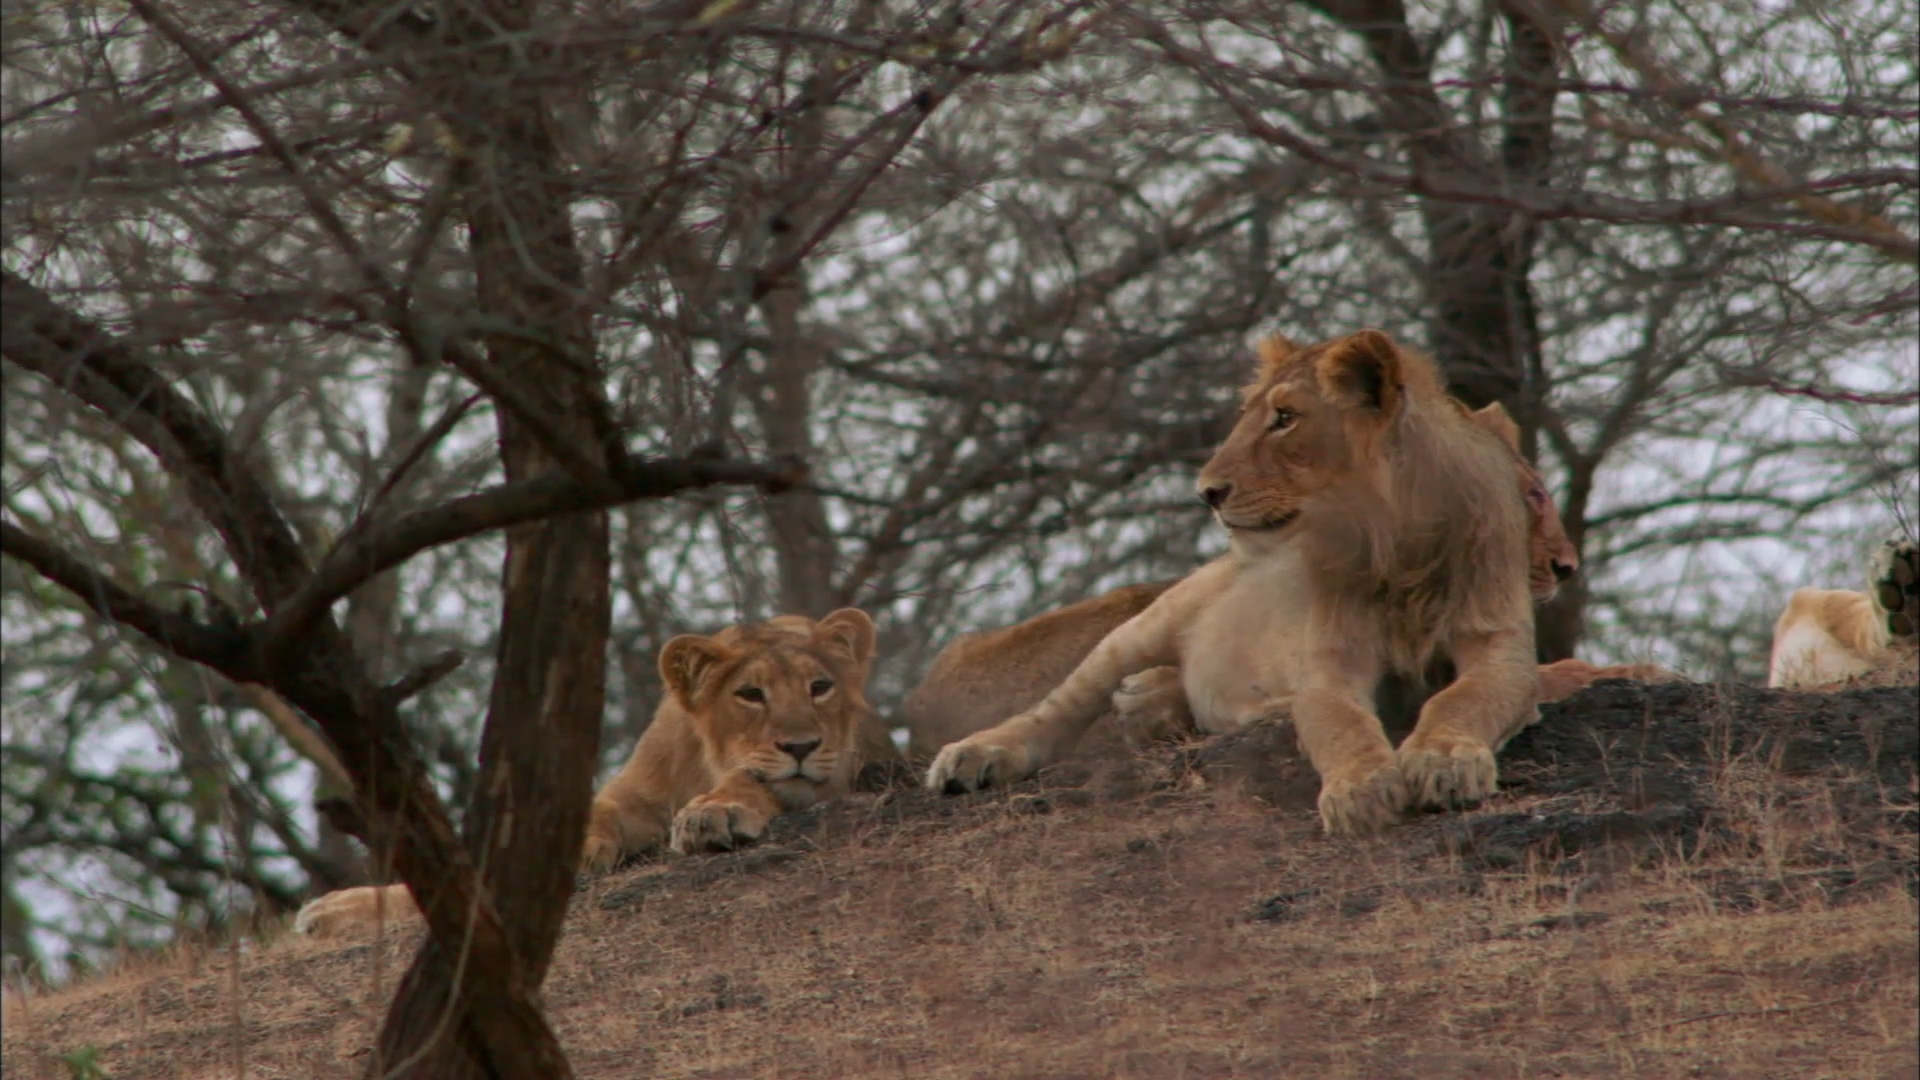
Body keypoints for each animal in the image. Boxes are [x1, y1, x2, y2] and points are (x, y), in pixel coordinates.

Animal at [294, 608, 895, 936]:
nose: (801, 746)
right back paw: (325, 912)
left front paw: (714, 813)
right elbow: (595, 812)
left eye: (821, 687)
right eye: (750, 694)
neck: (707, 759)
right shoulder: (637, 794)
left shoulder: (834, 776)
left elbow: (753, 783)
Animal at [924, 329, 1540, 834]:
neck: (1397, 547)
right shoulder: (1330, 665)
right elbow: (1342, 725)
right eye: (1248, 414)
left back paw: (1154, 703)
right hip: (1144, 624)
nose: (1207, 492)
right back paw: (976, 756)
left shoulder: (1500, 650)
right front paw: (1360, 791)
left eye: (1286, 417)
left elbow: (1463, 700)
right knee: (1056, 710)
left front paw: (1444, 762)